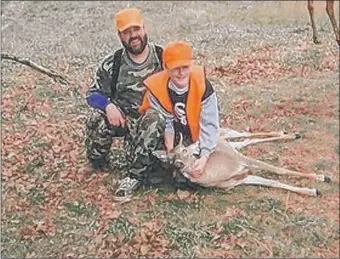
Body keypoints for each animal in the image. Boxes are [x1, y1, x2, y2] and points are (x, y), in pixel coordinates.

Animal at [153, 129, 330, 198]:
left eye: (183, 150)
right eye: (171, 159)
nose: (179, 163)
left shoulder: (242, 161)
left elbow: (280, 171)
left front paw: (322, 177)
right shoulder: (241, 178)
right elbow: (273, 182)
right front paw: (313, 191)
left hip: (227, 139)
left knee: (245, 134)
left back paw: (290, 134)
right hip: (234, 145)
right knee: (247, 140)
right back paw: (287, 134)